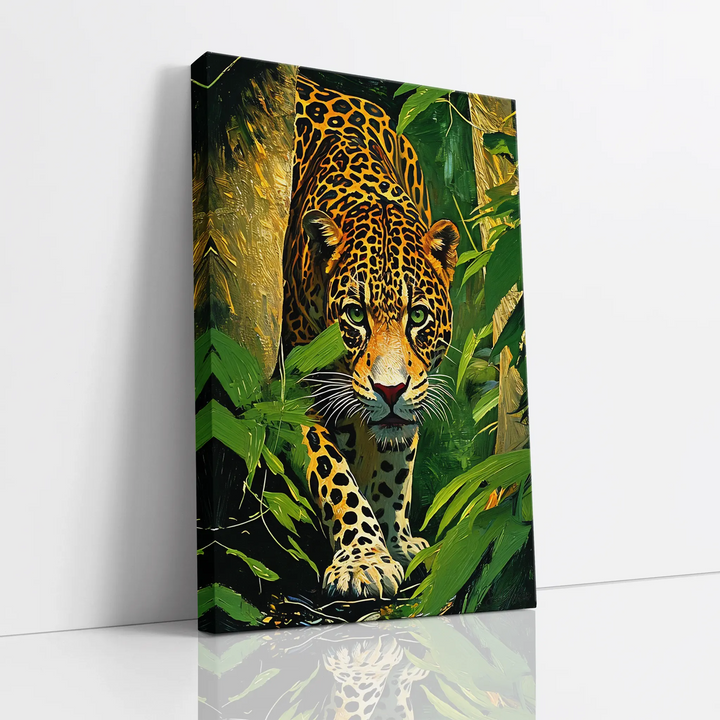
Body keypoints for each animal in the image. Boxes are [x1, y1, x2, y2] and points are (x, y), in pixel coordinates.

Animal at [282, 75, 460, 600]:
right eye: (355, 315)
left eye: (417, 316)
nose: (390, 389)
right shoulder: (299, 392)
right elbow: (335, 476)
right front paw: (364, 559)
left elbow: (391, 468)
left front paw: (394, 542)